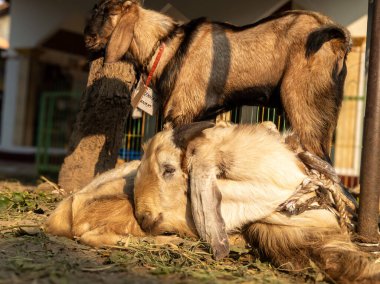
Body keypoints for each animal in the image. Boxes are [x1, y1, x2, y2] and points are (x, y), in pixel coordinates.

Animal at [84, 0, 352, 160]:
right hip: (325, 117)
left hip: (305, 109)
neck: (168, 44)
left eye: (110, 12)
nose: (87, 40)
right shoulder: (204, 116)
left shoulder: (180, 112)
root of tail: (338, 41)